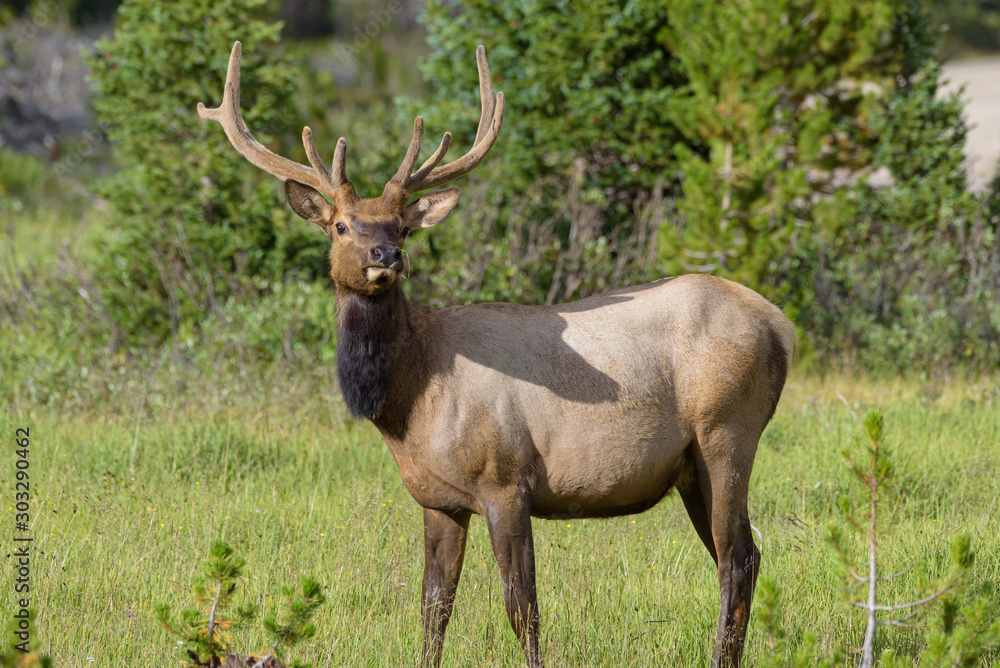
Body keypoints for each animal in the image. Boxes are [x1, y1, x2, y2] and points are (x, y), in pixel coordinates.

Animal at [199, 43, 796, 668]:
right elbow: (433, 609)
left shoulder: (506, 480)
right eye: (340, 225)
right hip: (691, 468)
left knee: (736, 558)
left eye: (401, 228)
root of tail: (781, 326)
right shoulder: (438, 500)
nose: (384, 255)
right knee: (745, 555)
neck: (409, 401)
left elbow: (522, 609)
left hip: (726, 431)